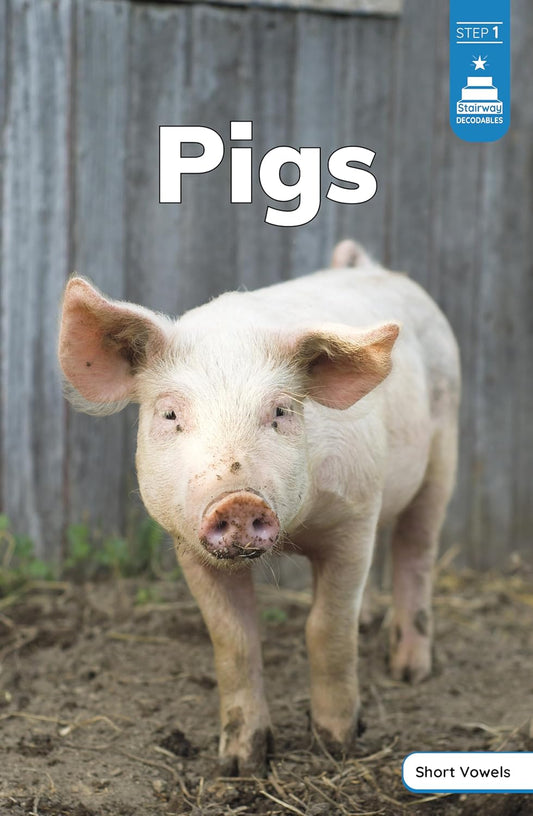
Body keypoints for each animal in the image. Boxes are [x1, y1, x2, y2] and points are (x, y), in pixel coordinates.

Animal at [58, 240, 460, 776]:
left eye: (281, 411)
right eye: (169, 413)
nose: (239, 498)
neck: (297, 532)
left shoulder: (354, 513)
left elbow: (326, 628)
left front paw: (337, 745)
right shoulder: (187, 545)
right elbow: (233, 639)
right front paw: (240, 763)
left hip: (444, 447)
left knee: (416, 549)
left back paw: (410, 671)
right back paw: (371, 625)